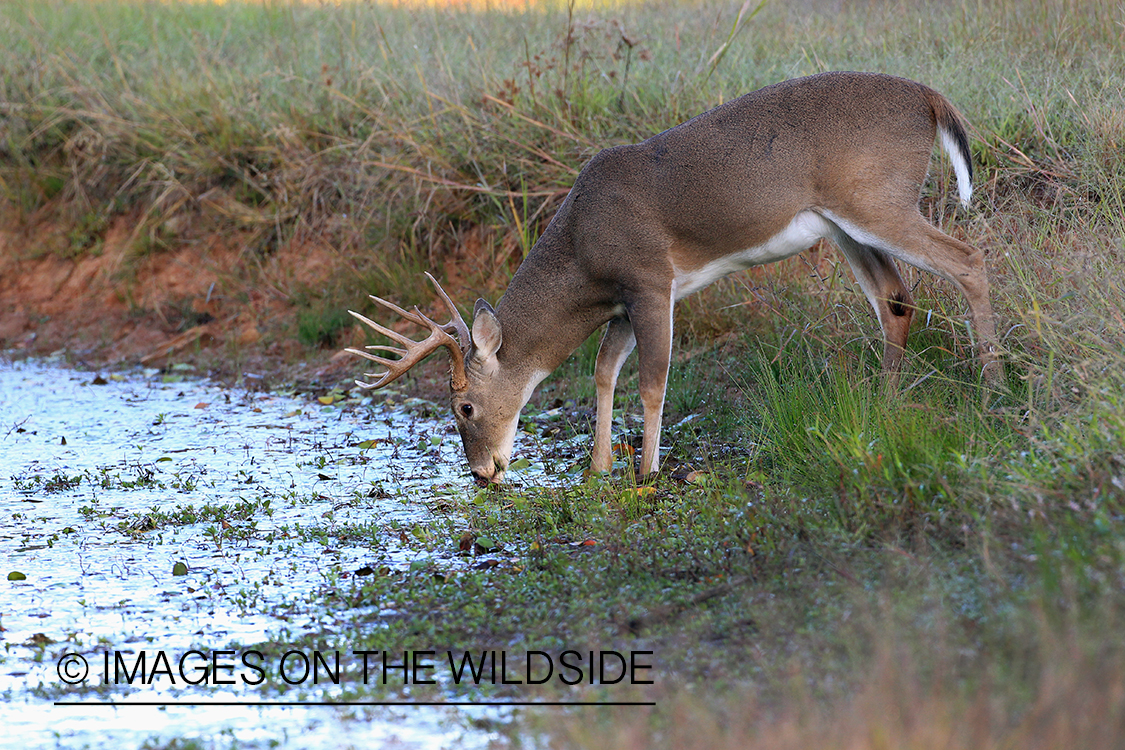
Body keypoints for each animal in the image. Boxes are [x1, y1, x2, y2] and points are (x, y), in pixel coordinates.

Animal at [342, 71, 1003, 488]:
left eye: (464, 407)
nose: (482, 473)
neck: (582, 251)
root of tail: (932, 99)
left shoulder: (649, 280)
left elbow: (653, 377)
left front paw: (648, 468)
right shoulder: (620, 304)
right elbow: (604, 371)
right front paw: (599, 467)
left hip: (877, 198)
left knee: (968, 260)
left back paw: (993, 387)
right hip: (845, 223)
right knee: (896, 298)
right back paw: (886, 405)